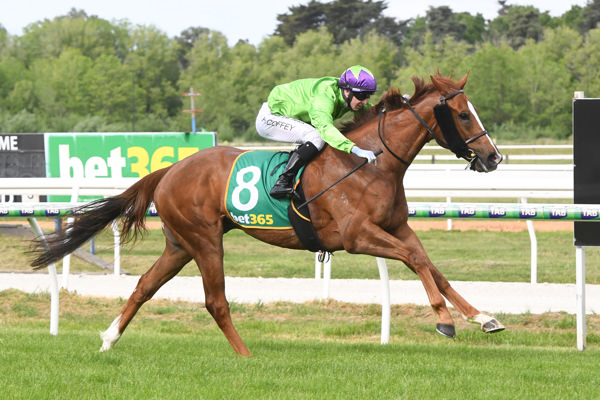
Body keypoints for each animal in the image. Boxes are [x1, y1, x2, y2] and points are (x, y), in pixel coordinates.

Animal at [30, 73, 504, 354]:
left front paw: (483, 317)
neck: (373, 165)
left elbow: (430, 264)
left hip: (179, 243)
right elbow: (418, 261)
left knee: (145, 286)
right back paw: (245, 355)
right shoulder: (357, 236)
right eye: (462, 115)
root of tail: (170, 169)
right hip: (204, 240)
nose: (493, 157)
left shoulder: (397, 227)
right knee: (215, 301)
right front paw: (444, 321)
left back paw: (109, 338)